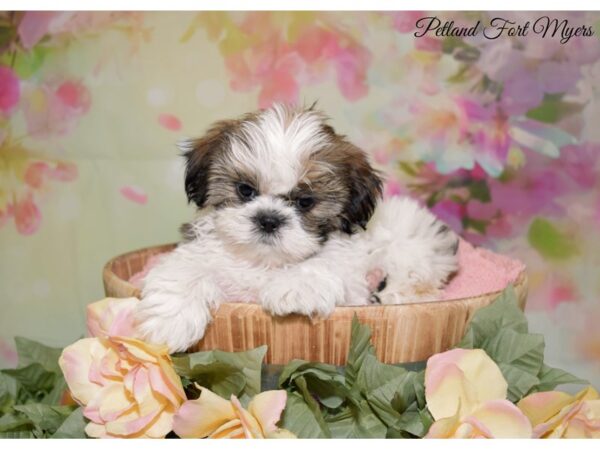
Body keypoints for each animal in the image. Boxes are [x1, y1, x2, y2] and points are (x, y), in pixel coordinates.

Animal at [136, 103, 458, 352]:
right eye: (245, 190)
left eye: (305, 202)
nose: (269, 219)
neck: (265, 262)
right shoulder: (201, 251)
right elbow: (184, 271)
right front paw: (170, 322)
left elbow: (322, 264)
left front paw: (293, 289)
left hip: (411, 247)